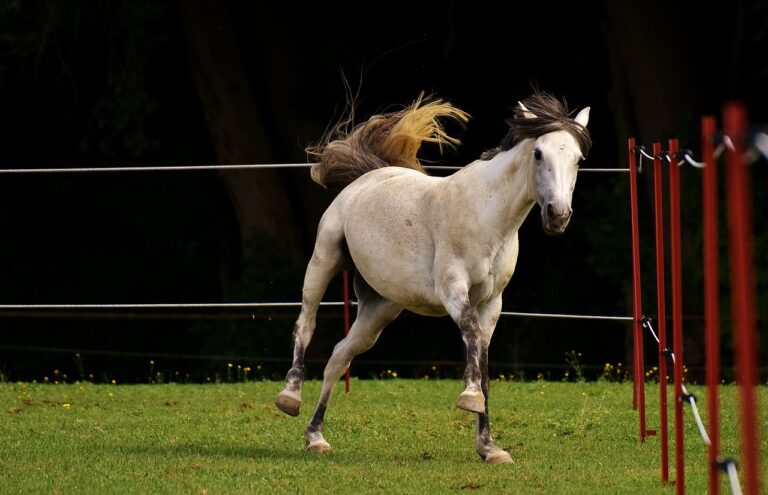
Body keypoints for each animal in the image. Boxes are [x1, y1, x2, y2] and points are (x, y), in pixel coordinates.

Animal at [278, 92, 592, 464]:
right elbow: (471, 338)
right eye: (539, 153)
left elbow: (483, 363)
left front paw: (489, 448)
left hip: (379, 309)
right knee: (305, 326)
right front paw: (469, 398)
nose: (558, 215)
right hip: (323, 261)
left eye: (578, 159)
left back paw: (315, 437)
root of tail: (369, 176)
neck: (487, 213)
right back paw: (289, 398)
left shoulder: (492, 303)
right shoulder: (453, 290)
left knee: (339, 356)